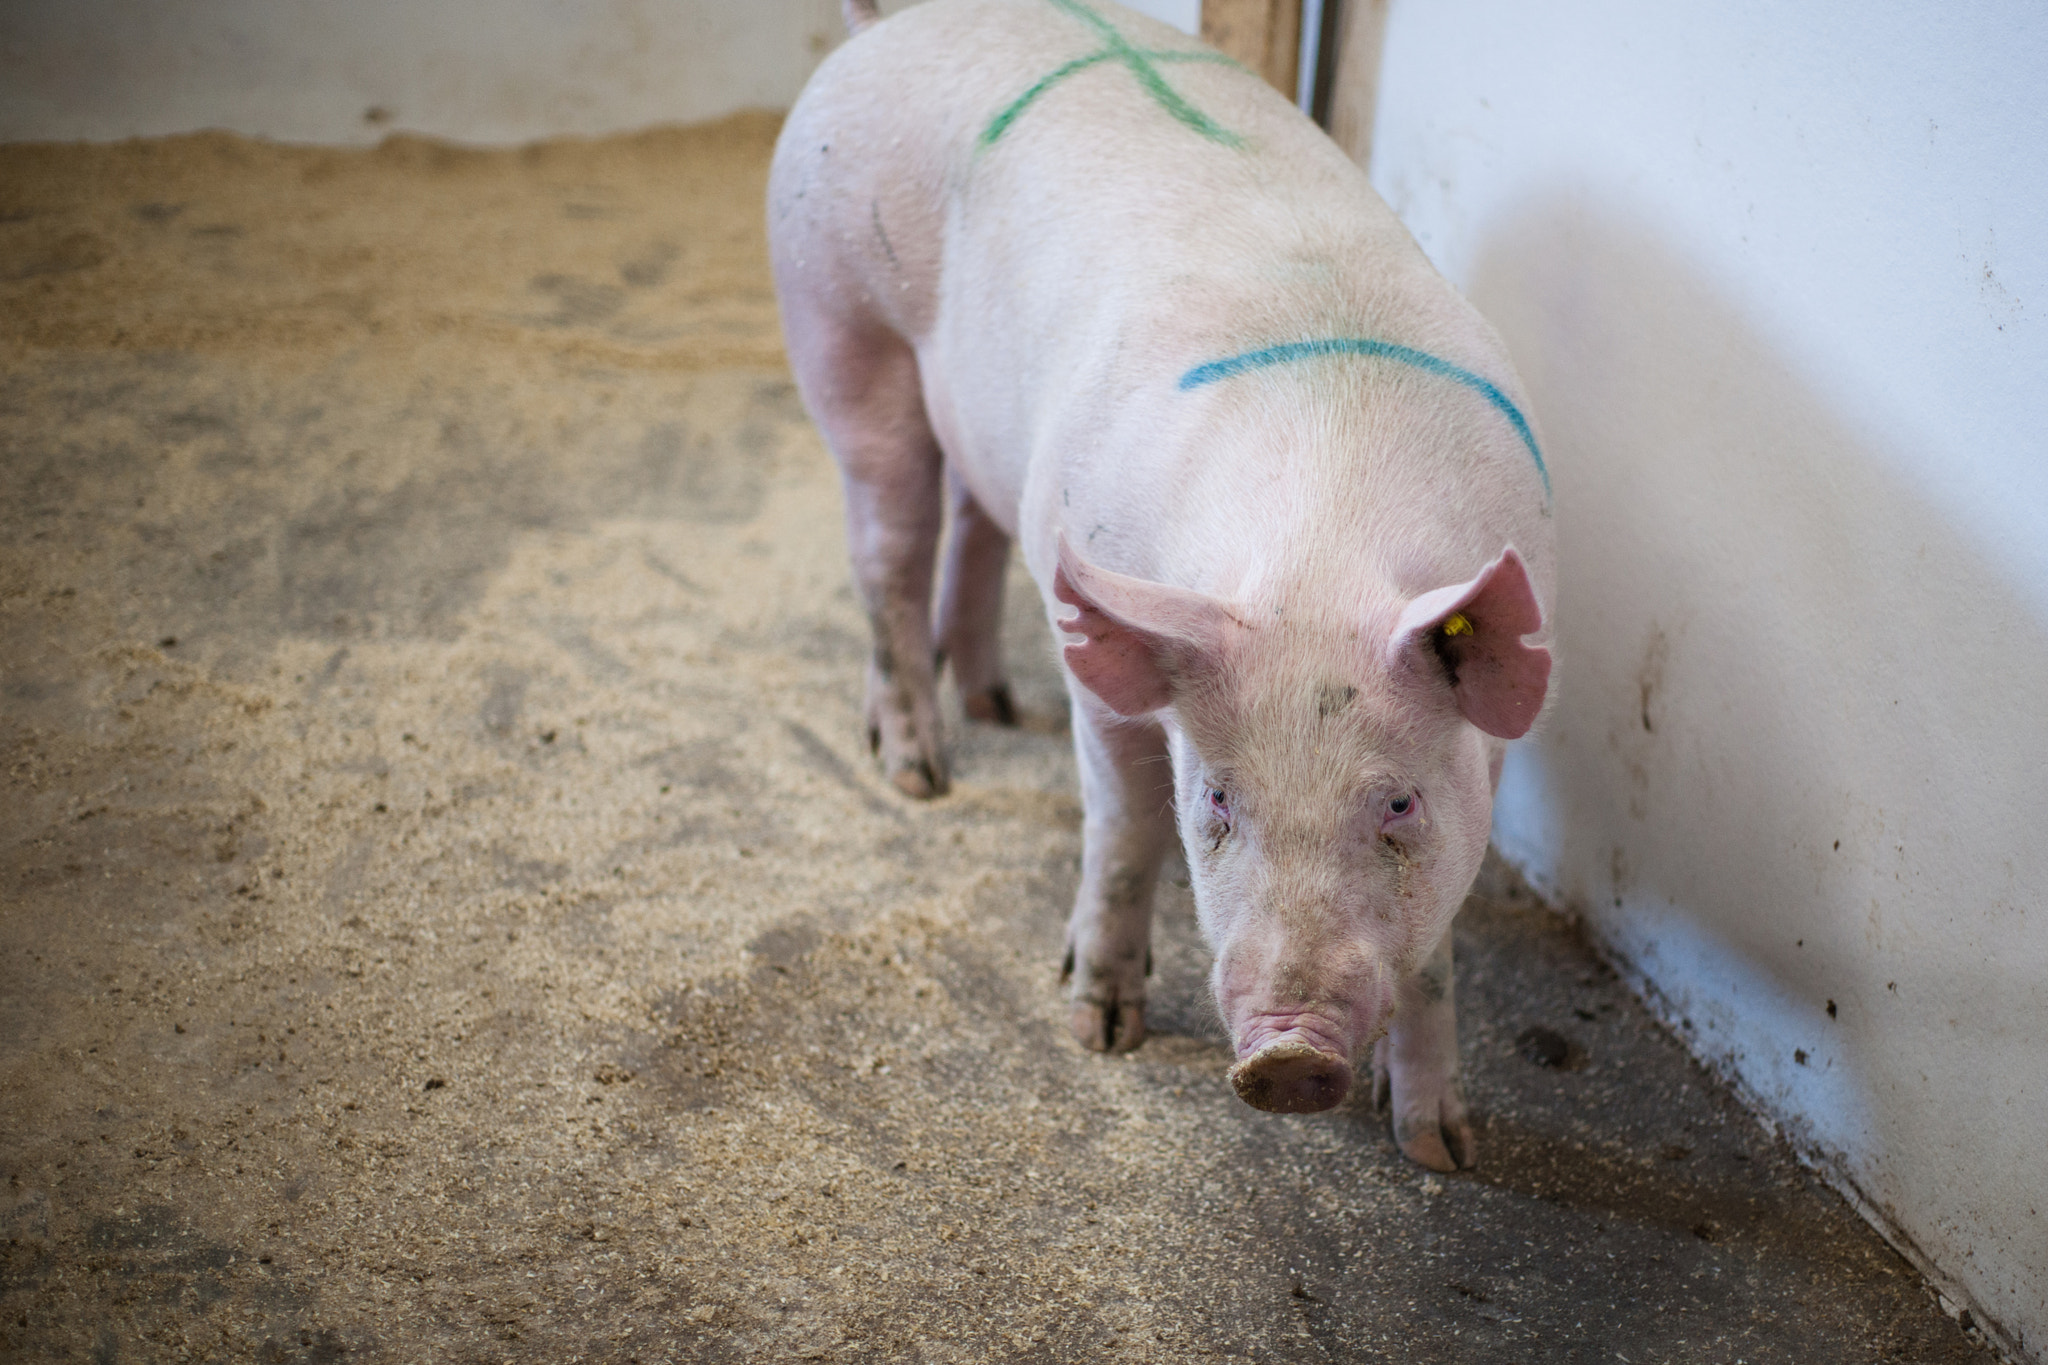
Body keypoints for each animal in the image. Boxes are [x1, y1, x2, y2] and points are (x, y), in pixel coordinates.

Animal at [770, 0, 1548, 1178]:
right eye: (1218, 798)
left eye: (1399, 803)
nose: (1288, 1058)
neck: (1318, 557)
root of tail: (888, 24)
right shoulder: (1111, 689)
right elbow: (1125, 828)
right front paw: (1100, 1030)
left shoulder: (1484, 752)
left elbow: (1438, 952)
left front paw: (1440, 1151)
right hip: (837, 316)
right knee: (886, 546)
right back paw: (918, 771)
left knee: (972, 525)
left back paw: (992, 703)